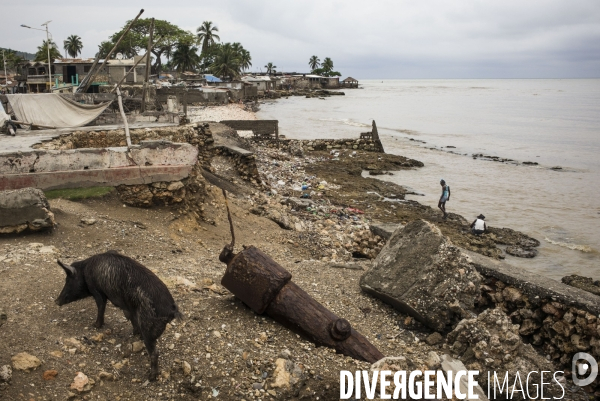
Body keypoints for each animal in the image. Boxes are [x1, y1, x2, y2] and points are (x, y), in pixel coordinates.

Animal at [55, 252, 180, 380]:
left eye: (68, 279)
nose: (56, 301)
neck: (85, 271)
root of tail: (171, 310)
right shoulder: (128, 308)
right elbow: (131, 318)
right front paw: (135, 333)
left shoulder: (97, 291)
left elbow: (101, 306)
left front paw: (95, 325)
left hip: (148, 327)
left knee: (155, 352)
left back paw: (151, 377)